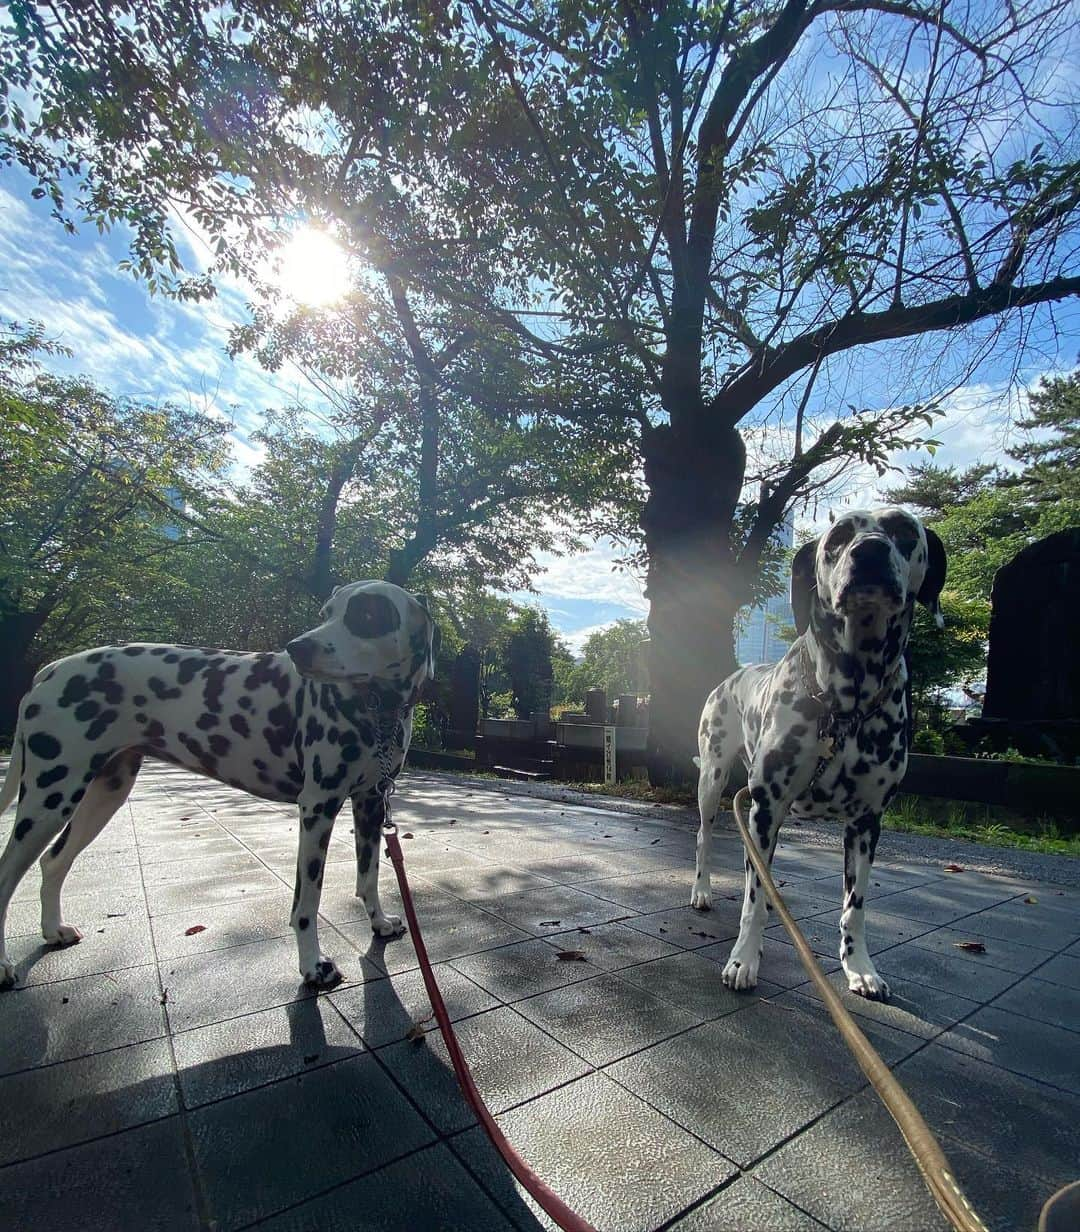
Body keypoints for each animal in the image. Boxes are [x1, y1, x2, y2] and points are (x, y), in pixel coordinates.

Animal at [1, 581, 438, 995]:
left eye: (366, 615)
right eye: (327, 613)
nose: (298, 648)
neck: (376, 708)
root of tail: (51, 669)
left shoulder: (370, 802)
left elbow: (369, 874)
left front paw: (379, 922)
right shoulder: (318, 808)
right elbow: (307, 902)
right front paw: (313, 966)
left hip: (102, 794)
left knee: (54, 861)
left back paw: (53, 930)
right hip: (50, 796)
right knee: (8, 875)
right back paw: (5, 967)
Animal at [694, 510, 940, 1000]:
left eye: (904, 529)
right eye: (839, 537)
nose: (869, 550)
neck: (845, 701)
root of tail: (732, 677)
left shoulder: (866, 823)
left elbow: (855, 905)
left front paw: (860, 967)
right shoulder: (767, 808)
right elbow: (754, 898)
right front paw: (743, 958)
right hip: (712, 781)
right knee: (705, 839)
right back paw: (703, 891)